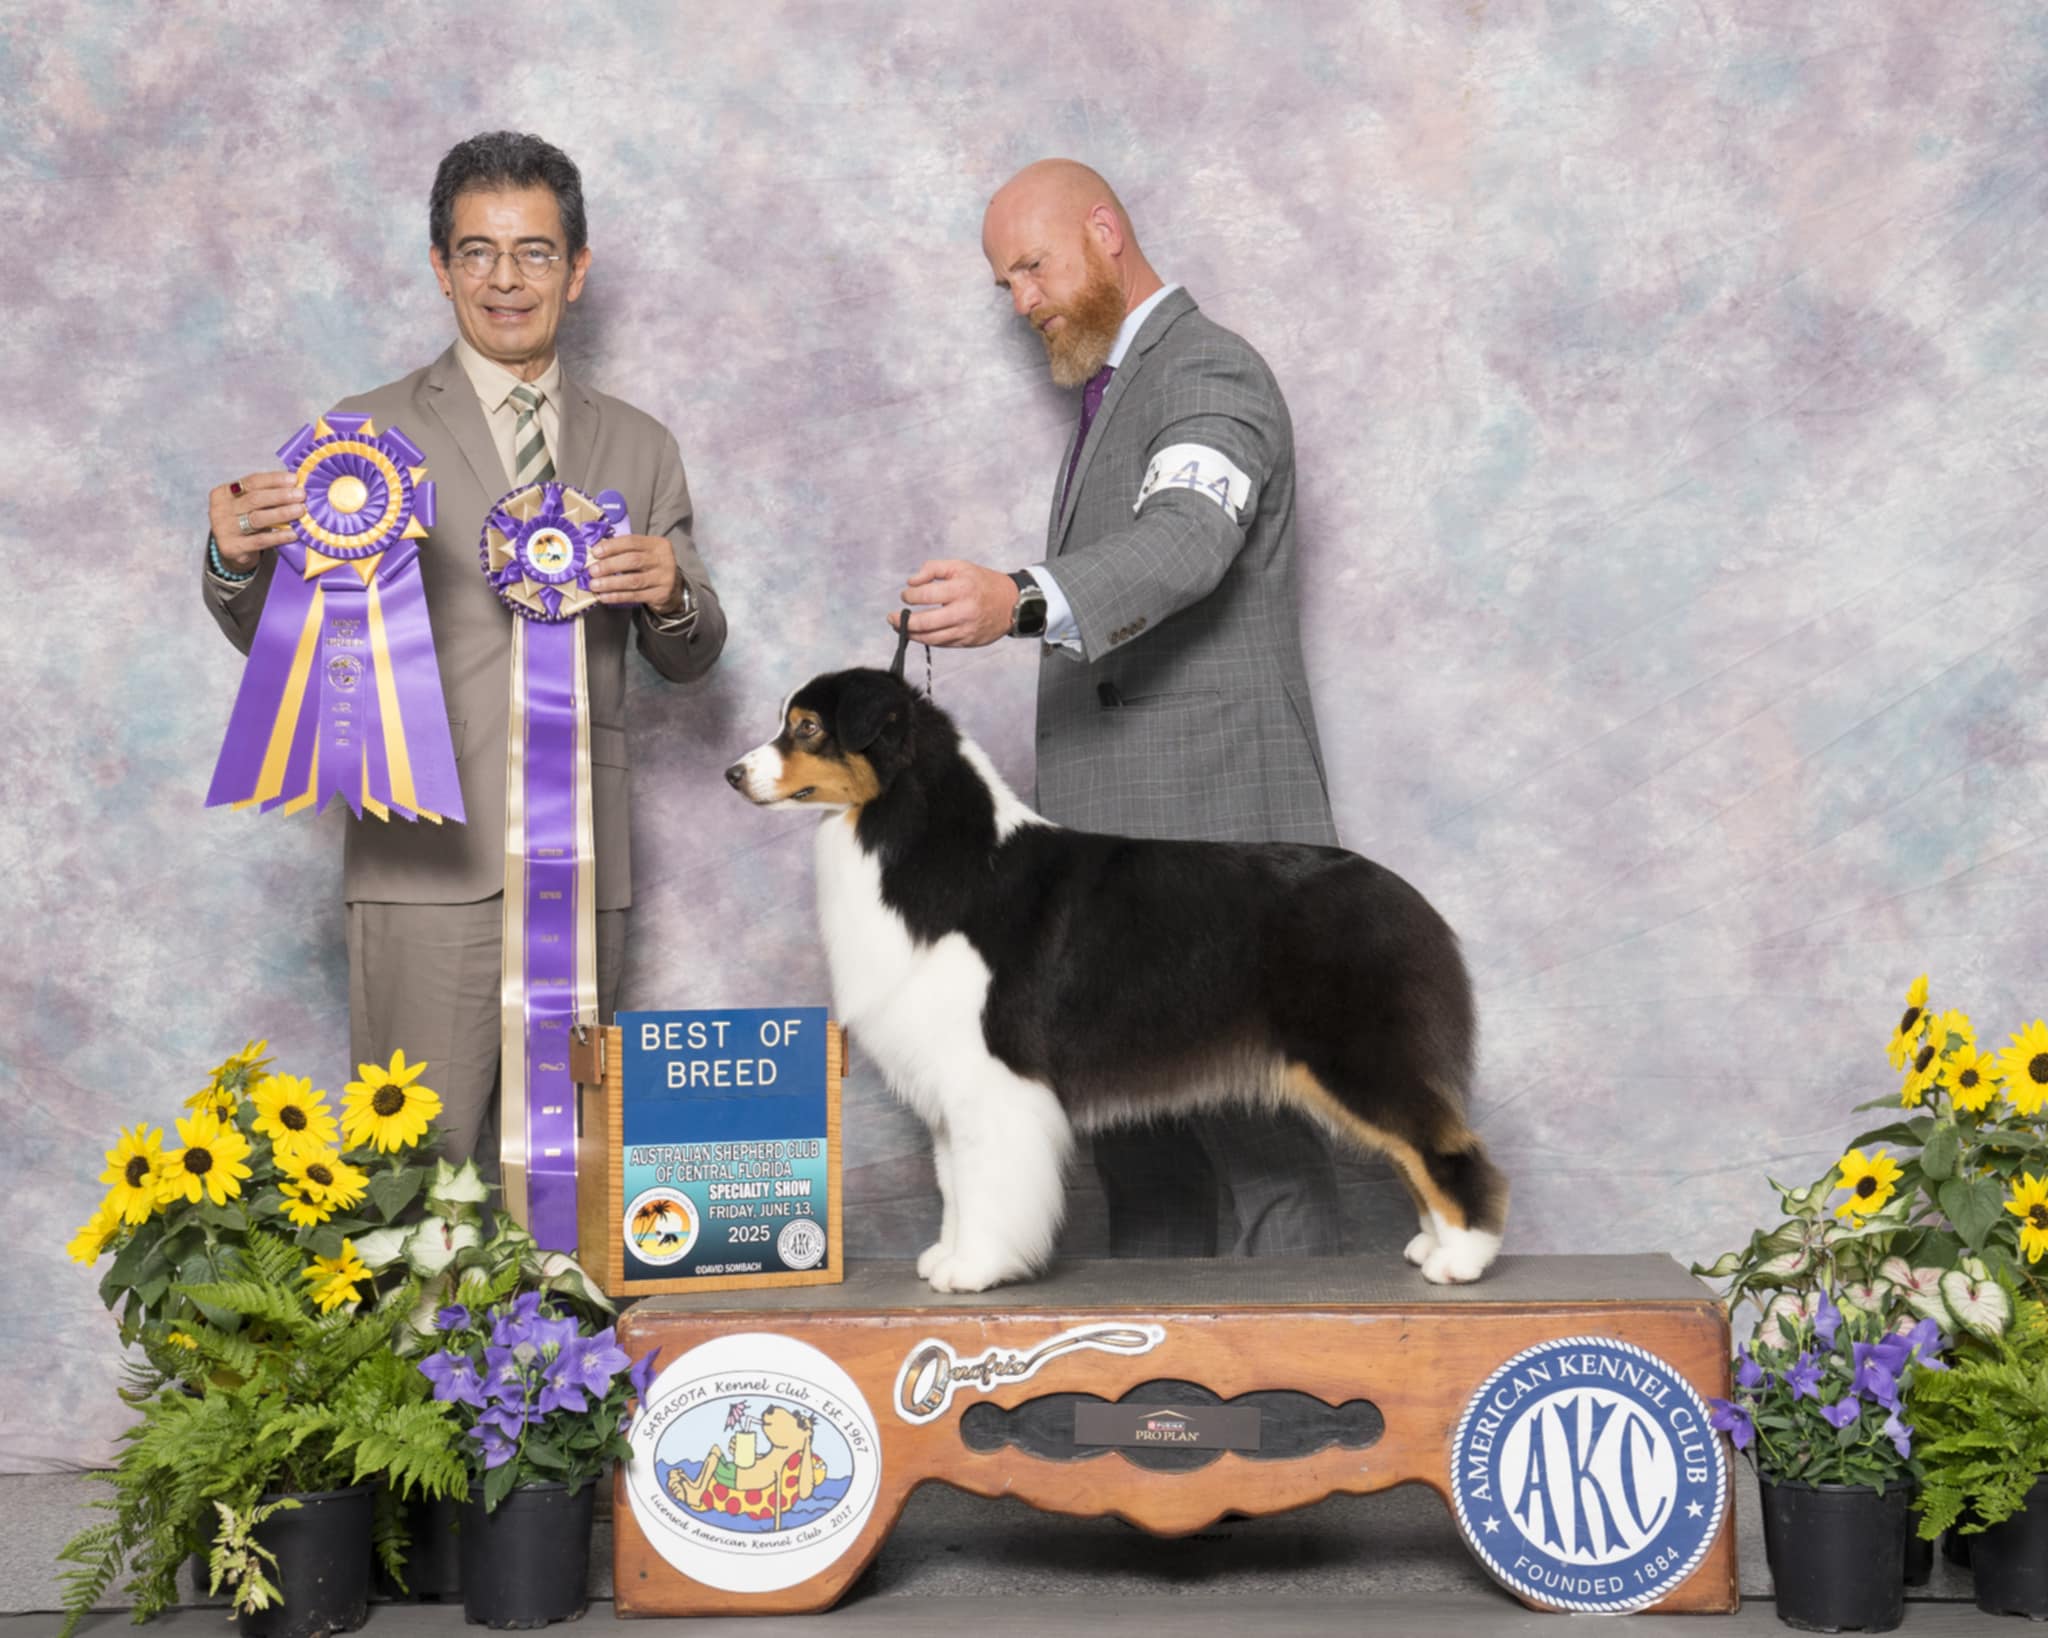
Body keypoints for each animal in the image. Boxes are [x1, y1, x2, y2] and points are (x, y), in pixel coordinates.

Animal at [725, 667, 1507, 1293]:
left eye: (807, 727)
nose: (732, 773)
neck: (918, 841)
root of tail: (1405, 898)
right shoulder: (951, 1076)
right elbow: (955, 1183)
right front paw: (946, 1257)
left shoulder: (992, 1075)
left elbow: (987, 1181)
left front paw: (975, 1270)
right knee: (1413, 1149)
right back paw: (1430, 1244)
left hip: (1358, 1053)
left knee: (1444, 1148)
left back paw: (1463, 1258)